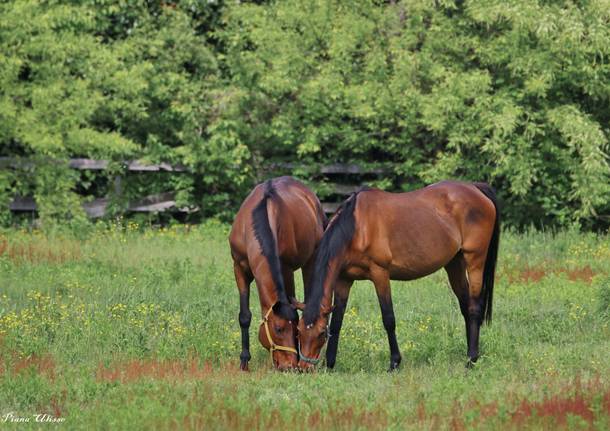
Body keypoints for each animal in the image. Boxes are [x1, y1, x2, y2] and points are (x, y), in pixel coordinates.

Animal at [228, 176, 326, 372]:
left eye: (295, 329)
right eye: (278, 329)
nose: (290, 366)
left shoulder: (286, 269)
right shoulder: (239, 268)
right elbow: (244, 316)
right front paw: (244, 361)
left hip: (311, 259)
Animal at [294, 181, 498, 372]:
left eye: (321, 333)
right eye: (298, 331)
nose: (304, 368)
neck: (357, 228)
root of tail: (475, 188)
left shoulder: (380, 274)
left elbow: (388, 319)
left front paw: (394, 362)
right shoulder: (344, 280)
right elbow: (337, 321)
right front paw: (329, 364)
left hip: (475, 260)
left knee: (474, 308)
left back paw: (471, 360)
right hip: (455, 264)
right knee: (466, 307)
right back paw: (470, 354)